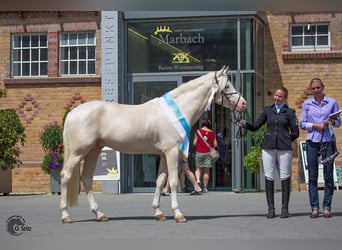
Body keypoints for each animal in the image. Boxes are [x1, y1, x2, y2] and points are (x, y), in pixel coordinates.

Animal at [59, 66, 246, 223]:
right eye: (227, 86)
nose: (243, 104)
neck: (177, 111)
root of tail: (72, 114)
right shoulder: (171, 152)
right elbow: (173, 181)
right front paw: (178, 214)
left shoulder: (163, 154)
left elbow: (160, 181)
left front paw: (159, 213)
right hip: (78, 151)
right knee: (66, 175)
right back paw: (66, 215)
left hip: (94, 150)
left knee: (86, 178)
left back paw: (99, 214)